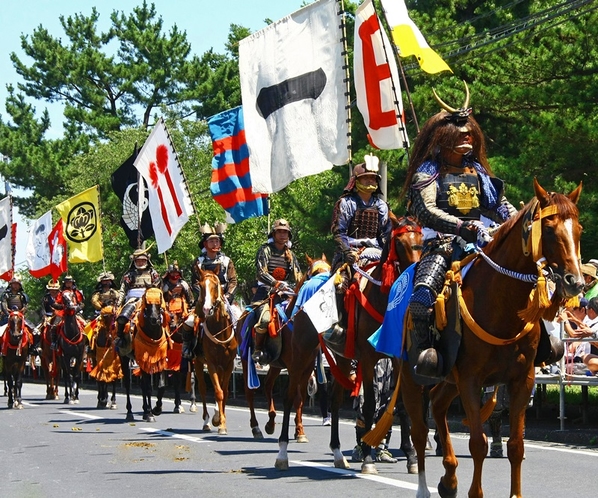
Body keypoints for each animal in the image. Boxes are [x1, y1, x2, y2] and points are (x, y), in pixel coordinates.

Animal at [191, 268, 240, 436]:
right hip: (197, 362)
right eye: (200, 285)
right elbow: (218, 392)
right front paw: (219, 422)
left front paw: (221, 421)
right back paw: (206, 421)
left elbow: (224, 392)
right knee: (203, 389)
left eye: (215, 285)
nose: (207, 308)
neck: (220, 331)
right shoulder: (211, 363)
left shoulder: (229, 364)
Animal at [236, 256, 332, 440]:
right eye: (315, 272)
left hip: (275, 364)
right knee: (249, 392)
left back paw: (271, 423)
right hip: (245, 358)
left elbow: (300, 399)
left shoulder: (307, 368)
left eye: (329, 270)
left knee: (267, 385)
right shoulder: (295, 368)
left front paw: (300, 431)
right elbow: (293, 396)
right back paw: (256, 427)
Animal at [276, 214, 422, 470]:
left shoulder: (396, 358)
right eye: (400, 242)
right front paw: (367, 459)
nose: (414, 274)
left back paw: (337, 453)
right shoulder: (368, 358)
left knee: (335, 401)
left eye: (422, 241)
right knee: (290, 396)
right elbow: (370, 405)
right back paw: (283, 454)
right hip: (302, 353)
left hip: (341, 358)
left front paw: (411, 456)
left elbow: (402, 404)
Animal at [400, 179, 584, 498]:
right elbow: (478, 443)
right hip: (412, 375)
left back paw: (449, 480)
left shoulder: (521, 380)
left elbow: (516, 446)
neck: (502, 304)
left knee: (437, 404)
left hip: (450, 380)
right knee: (419, 430)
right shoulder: (471, 381)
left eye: (579, 229)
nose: (576, 282)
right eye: (548, 229)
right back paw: (423, 486)